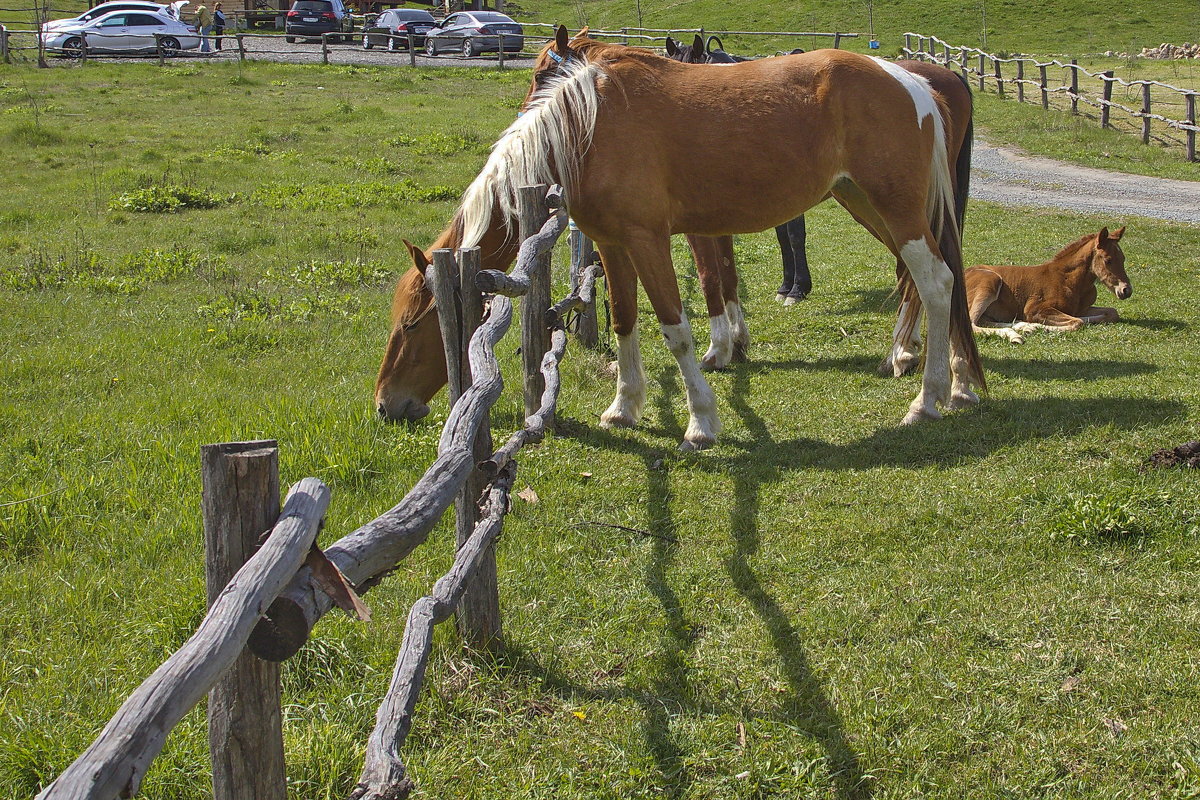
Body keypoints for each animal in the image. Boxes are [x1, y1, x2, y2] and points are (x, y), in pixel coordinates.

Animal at [376, 26, 984, 450]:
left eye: (413, 324)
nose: (386, 405)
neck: (590, 128)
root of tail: (914, 82)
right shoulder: (612, 244)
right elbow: (625, 321)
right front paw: (624, 408)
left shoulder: (649, 241)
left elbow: (677, 328)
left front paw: (702, 421)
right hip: (868, 205)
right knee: (927, 280)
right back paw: (953, 382)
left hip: (897, 210)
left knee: (935, 282)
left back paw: (926, 399)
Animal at [960, 225, 1128, 345]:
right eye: (1108, 260)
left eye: (1124, 258)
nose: (1126, 290)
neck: (1069, 280)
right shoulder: (1035, 309)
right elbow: (1077, 322)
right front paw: (1042, 328)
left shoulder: (1081, 309)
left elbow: (1111, 313)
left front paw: (1031, 326)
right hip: (990, 282)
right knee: (973, 324)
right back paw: (1017, 334)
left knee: (983, 321)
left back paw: (1024, 327)